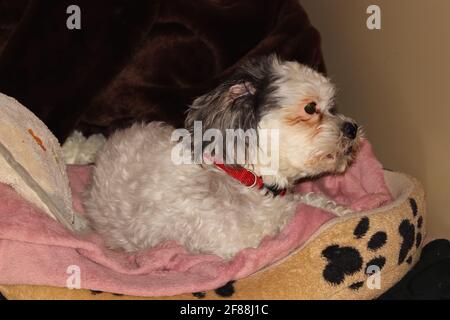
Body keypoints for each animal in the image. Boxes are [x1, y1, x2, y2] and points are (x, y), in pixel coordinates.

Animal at [84, 55, 362, 260]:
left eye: (332, 107)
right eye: (310, 108)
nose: (352, 127)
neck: (243, 176)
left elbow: (313, 199)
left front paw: (339, 210)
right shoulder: (237, 242)